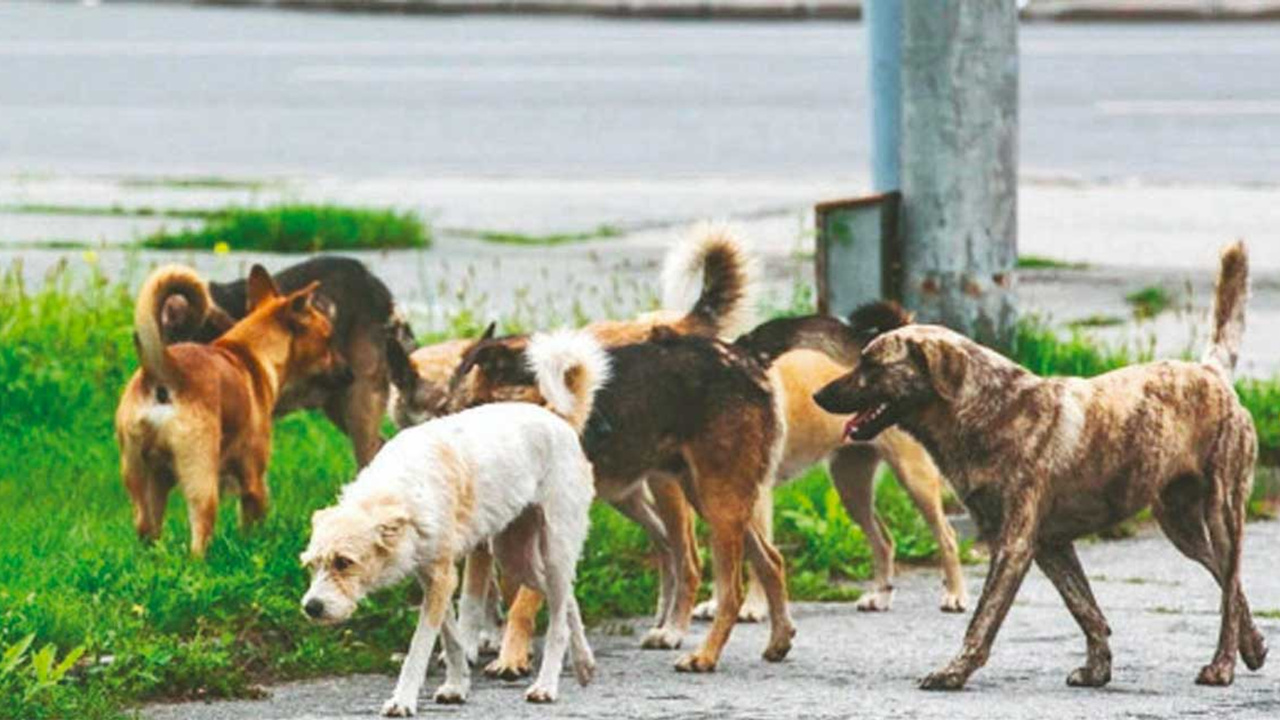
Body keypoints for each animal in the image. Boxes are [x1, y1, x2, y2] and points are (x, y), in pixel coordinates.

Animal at [115, 263, 343, 556]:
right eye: (329, 339)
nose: (349, 373)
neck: (251, 352)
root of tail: (163, 370)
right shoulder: (254, 482)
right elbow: (252, 522)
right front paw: (253, 547)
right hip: (201, 480)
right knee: (199, 536)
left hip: (143, 480)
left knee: (147, 529)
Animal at [299, 330, 609, 712]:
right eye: (311, 565)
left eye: (344, 562)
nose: (311, 608)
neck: (401, 489)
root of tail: (557, 418)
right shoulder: (434, 578)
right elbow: (453, 638)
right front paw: (457, 685)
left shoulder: (442, 578)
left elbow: (420, 647)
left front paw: (403, 699)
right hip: (516, 555)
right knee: (565, 601)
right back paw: (583, 662)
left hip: (553, 548)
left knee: (558, 622)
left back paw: (546, 685)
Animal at [814, 242, 1264, 691]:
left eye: (872, 365)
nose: (818, 394)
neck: (987, 410)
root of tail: (1210, 371)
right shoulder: (1050, 545)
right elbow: (1085, 608)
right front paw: (1098, 669)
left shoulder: (1013, 545)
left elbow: (983, 619)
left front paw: (954, 671)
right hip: (1180, 524)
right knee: (1230, 582)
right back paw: (1254, 645)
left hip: (1222, 512)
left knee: (1230, 586)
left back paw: (1222, 665)